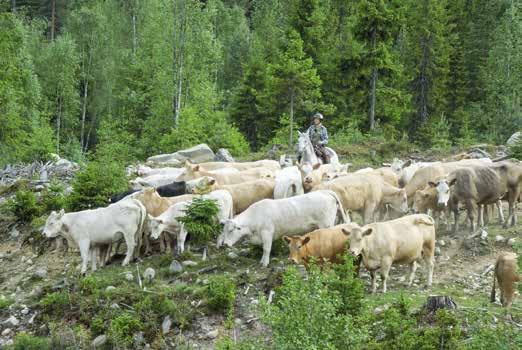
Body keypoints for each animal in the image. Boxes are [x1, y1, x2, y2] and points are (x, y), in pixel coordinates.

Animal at [215, 190, 346, 266]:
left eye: (231, 230)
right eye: (224, 231)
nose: (225, 244)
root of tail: (325, 192)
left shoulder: (267, 233)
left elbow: (266, 249)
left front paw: (264, 263)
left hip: (326, 224)